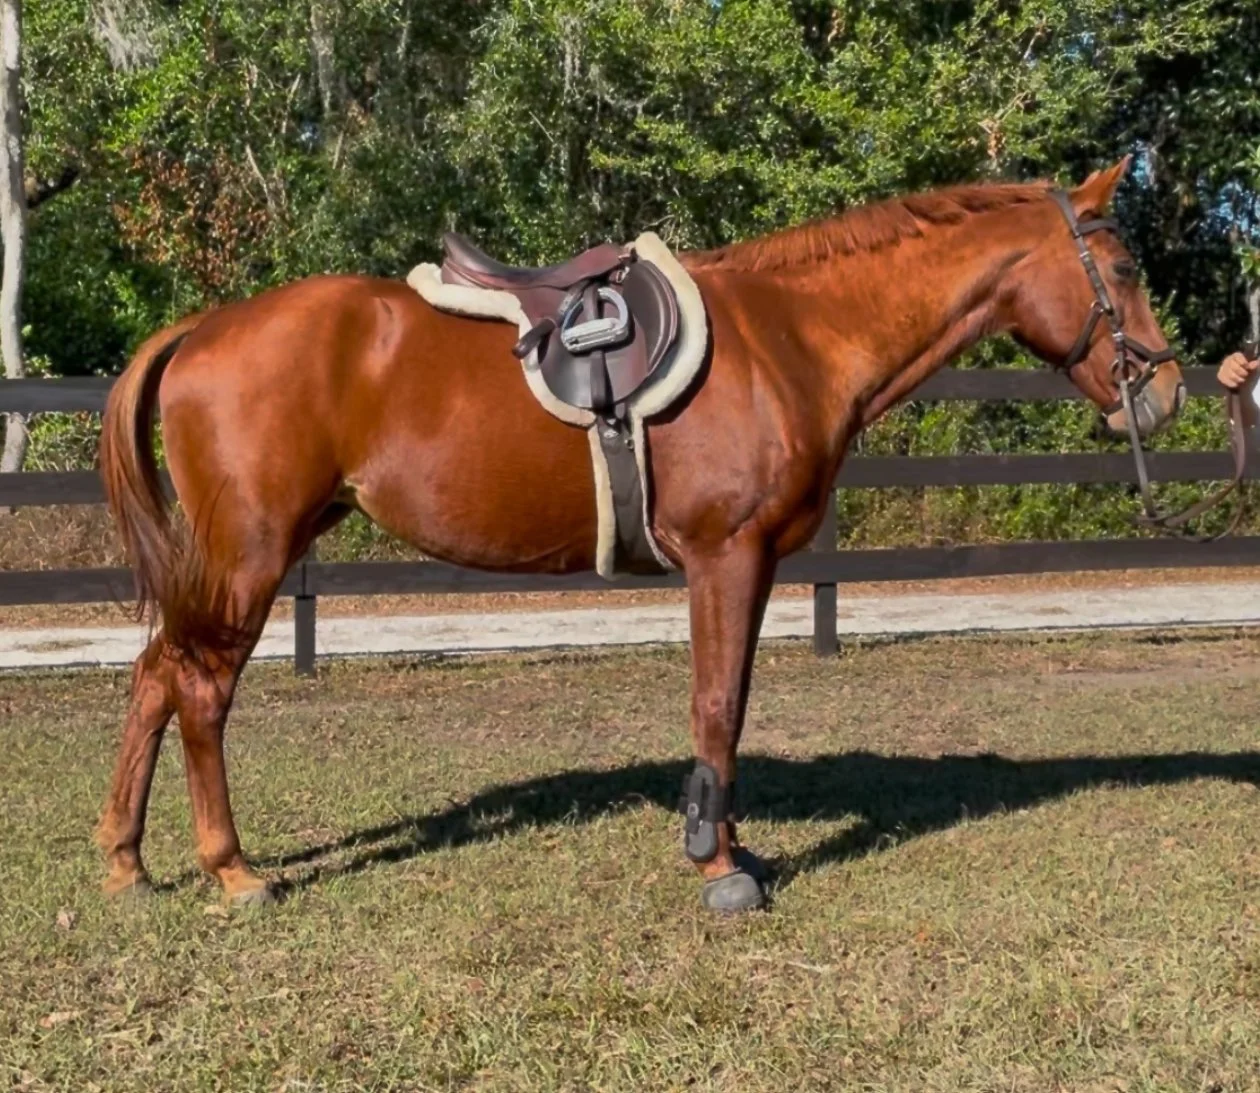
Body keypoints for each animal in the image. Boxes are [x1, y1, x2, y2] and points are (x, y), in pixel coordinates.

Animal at [97, 157, 1185, 913]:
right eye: (1124, 265)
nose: (1168, 388)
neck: (792, 337)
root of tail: (203, 329)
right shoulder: (725, 555)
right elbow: (716, 705)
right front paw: (718, 864)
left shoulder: (753, 565)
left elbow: (730, 704)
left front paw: (731, 843)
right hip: (249, 554)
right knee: (200, 690)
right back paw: (231, 869)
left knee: (154, 675)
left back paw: (124, 860)